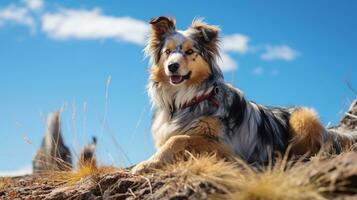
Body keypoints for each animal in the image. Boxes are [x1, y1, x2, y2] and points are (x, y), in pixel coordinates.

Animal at [131, 16, 356, 173]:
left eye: (189, 52)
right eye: (168, 52)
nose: (172, 66)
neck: (186, 100)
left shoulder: (229, 149)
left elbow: (179, 139)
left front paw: (145, 164)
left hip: (303, 117)